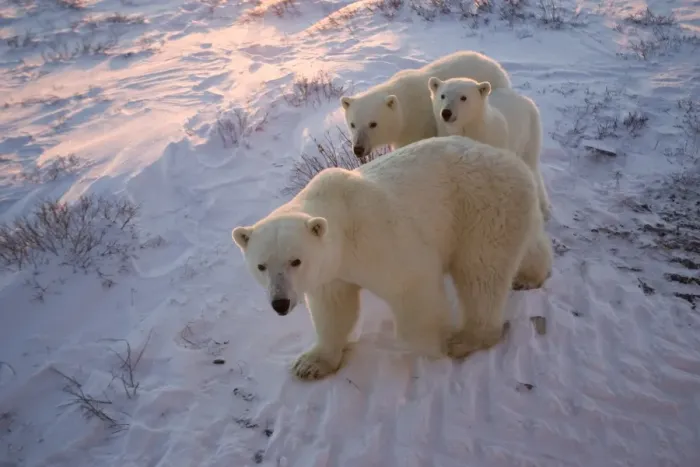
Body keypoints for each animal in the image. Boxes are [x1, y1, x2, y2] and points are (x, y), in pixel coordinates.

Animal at [231, 135, 552, 381]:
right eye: (261, 266)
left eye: (295, 261)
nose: (280, 303)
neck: (342, 220)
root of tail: (514, 162)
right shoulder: (331, 270)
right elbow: (332, 307)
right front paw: (311, 364)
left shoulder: (376, 236)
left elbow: (412, 284)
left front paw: (434, 344)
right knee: (525, 246)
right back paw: (530, 276)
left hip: (481, 210)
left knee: (481, 273)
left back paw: (465, 339)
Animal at [429, 76, 552, 221]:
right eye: (442, 95)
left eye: (463, 97)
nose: (446, 113)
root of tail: (523, 97)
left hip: (530, 130)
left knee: (531, 163)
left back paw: (544, 207)